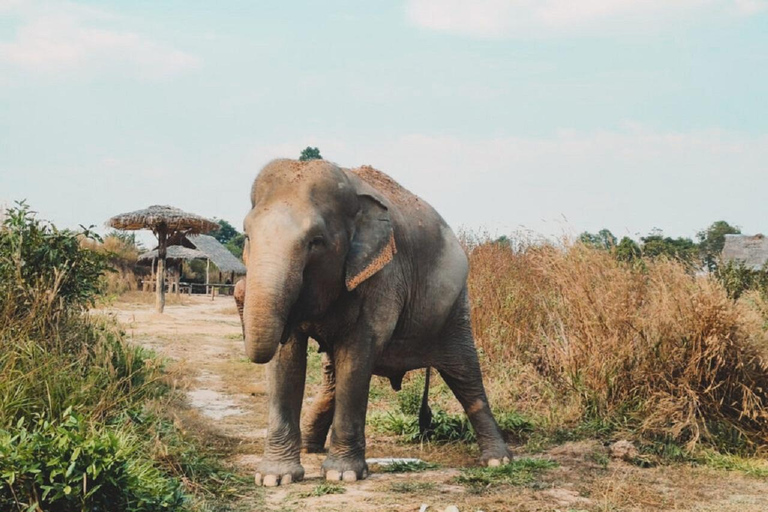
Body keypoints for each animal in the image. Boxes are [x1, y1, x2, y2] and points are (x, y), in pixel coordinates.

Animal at [243, 158, 512, 486]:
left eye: (316, 242)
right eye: (247, 236)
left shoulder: (384, 276)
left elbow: (357, 354)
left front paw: (342, 475)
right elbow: (286, 360)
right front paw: (274, 478)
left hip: (454, 307)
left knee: (465, 373)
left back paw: (497, 461)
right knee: (333, 378)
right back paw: (310, 447)